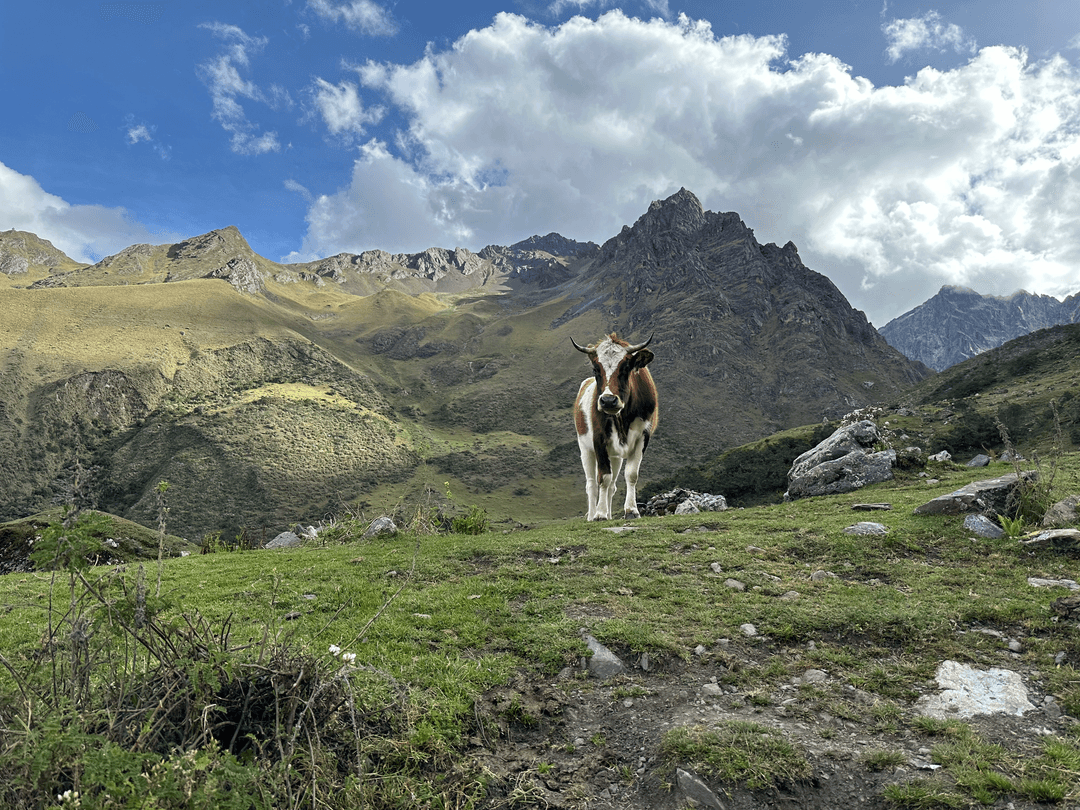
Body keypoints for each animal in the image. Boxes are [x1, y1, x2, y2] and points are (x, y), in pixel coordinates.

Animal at [574, 334, 656, 520]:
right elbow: (603, 477)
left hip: (615, 456)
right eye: (595, 369)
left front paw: (631, 510)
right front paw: (600, 514)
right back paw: (592, 515)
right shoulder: (598, 439)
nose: (608, 400)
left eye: (626, 367)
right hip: (585, 449)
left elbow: (631, 475)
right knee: (591, 484)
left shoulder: (643, 436)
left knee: (612, 485)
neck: (623, 418)